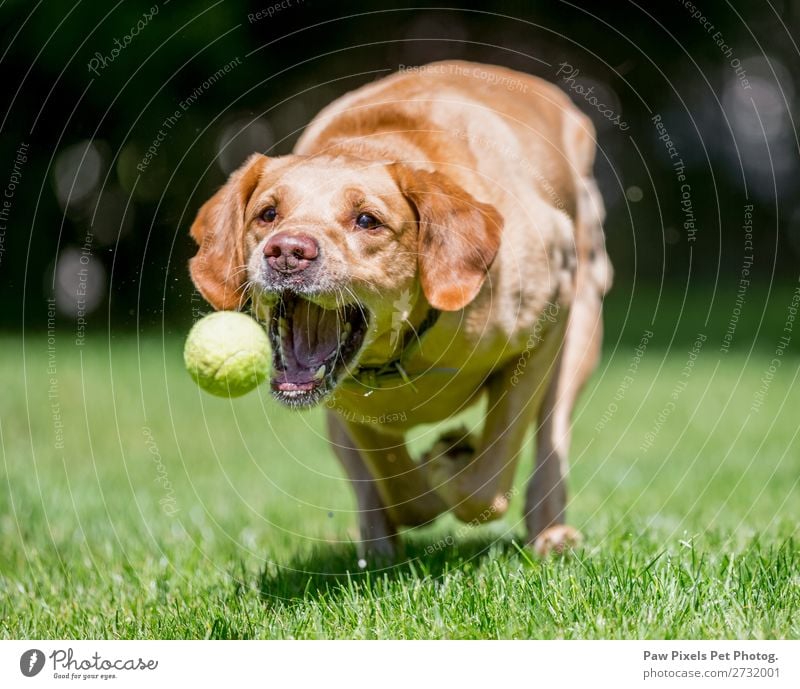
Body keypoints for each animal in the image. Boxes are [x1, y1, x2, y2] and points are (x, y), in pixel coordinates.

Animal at [189, 60, 612, 560]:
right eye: (268, 214)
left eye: (367, 220)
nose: (287, 252)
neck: (400, 356)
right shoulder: (348, 405)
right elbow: (397, 483)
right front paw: (427, 482)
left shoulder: (548, 322)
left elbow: (486, 482)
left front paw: (448, 465)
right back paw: (377, 546)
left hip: (581, 325)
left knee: (549, 443)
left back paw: (549, 533)